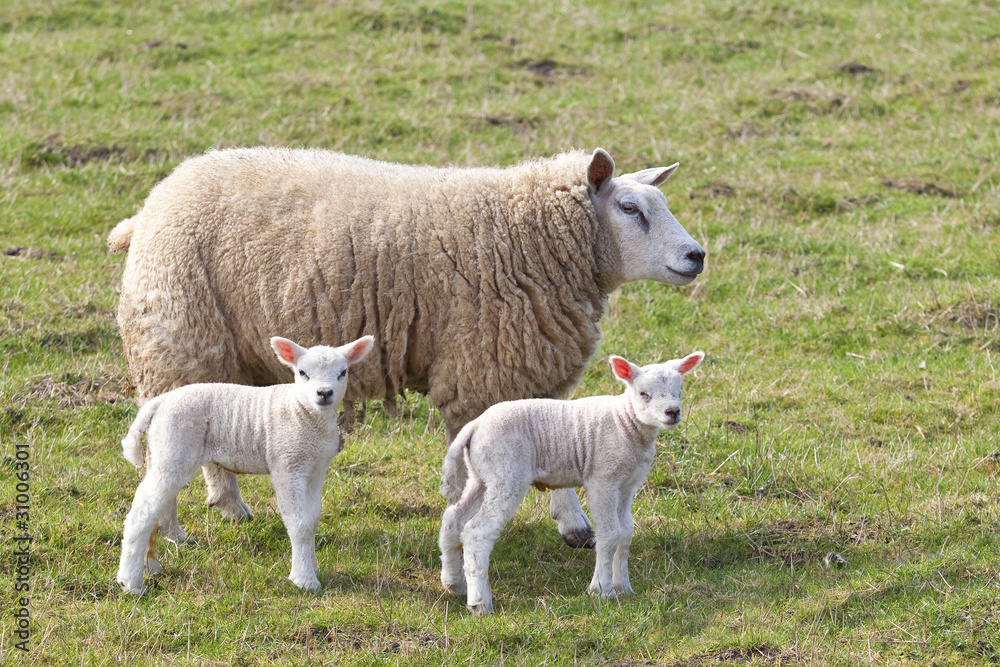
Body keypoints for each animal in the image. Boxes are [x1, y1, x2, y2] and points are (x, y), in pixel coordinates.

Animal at [107, 146, 706, 549]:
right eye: (629, 208)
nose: (697, 255)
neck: (531, 239)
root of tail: (152, 203)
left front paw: (574, 524)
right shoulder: (484, 371)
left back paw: (229, 507)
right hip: (180, 341)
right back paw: (192, 522)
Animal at [115, 334, 374, 595]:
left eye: (343, 372)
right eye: (302, 372)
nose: (324, 393)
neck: (302, 411)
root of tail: (160, 401)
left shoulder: (315, 470)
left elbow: (312, 520)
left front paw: (312, 567)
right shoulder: (287, 465)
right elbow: (299, 523)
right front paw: (304, 580)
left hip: (165, 452)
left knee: (156, 505)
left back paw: (152, 565)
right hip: (175, 447)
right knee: (142, 512)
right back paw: (131, 583)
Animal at [437, 350, 704, 615]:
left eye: (680, 391)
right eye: (644, 394)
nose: (673, 412)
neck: (625, 421)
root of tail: (475, 426)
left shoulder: (627, 484)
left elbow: (626, 532)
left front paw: (623, 587)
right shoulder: (603, 479)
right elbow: (610, 533)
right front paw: (601, 590)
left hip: (482, 476)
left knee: (454, 518)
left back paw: (454, 583)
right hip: (506, 472)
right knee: (477, 531)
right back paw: (480, 603)